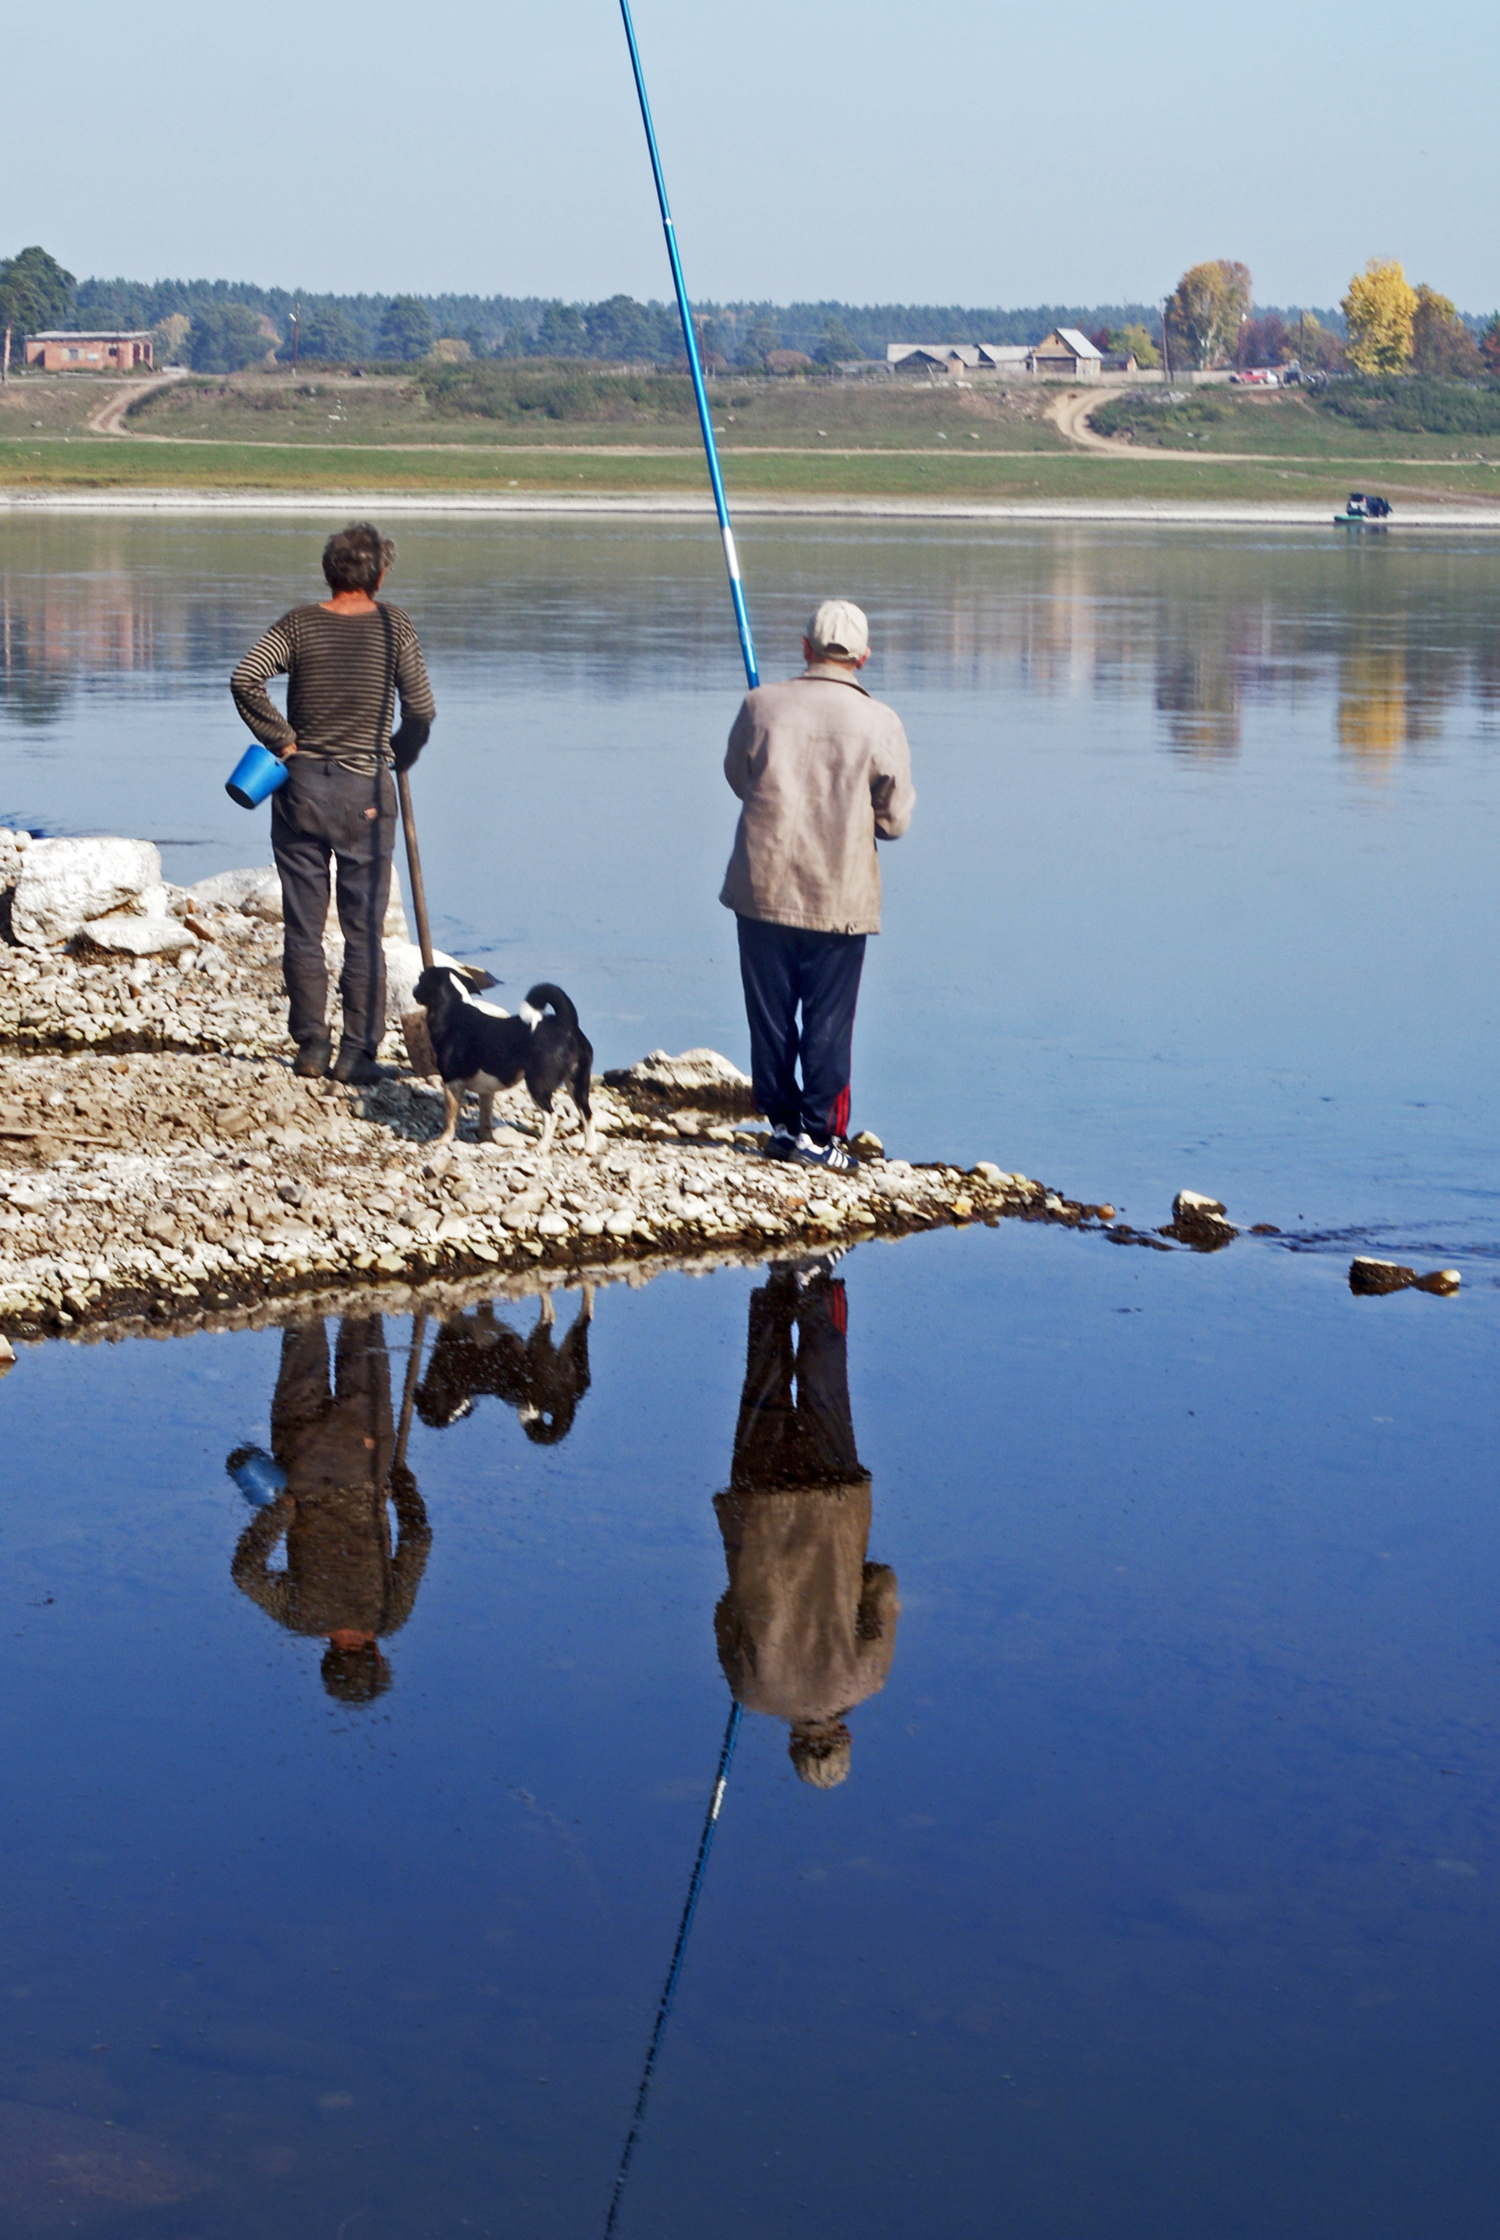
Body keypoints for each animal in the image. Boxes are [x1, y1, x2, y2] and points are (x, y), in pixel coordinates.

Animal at [414, 967, 604, 1155]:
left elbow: (450, 1117)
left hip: (537, 1084)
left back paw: (541, 1146)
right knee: (587, 1115)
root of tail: (566, 1024)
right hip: (577, 1084)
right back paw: (589, 1148)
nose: (414, 990)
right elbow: (485, 1119)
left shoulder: (452, 1084)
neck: (453, 1009)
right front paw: (487, 1140)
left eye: (421, 979)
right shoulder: (486, 1092)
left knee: (551, 1116)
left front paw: (443, 1140)